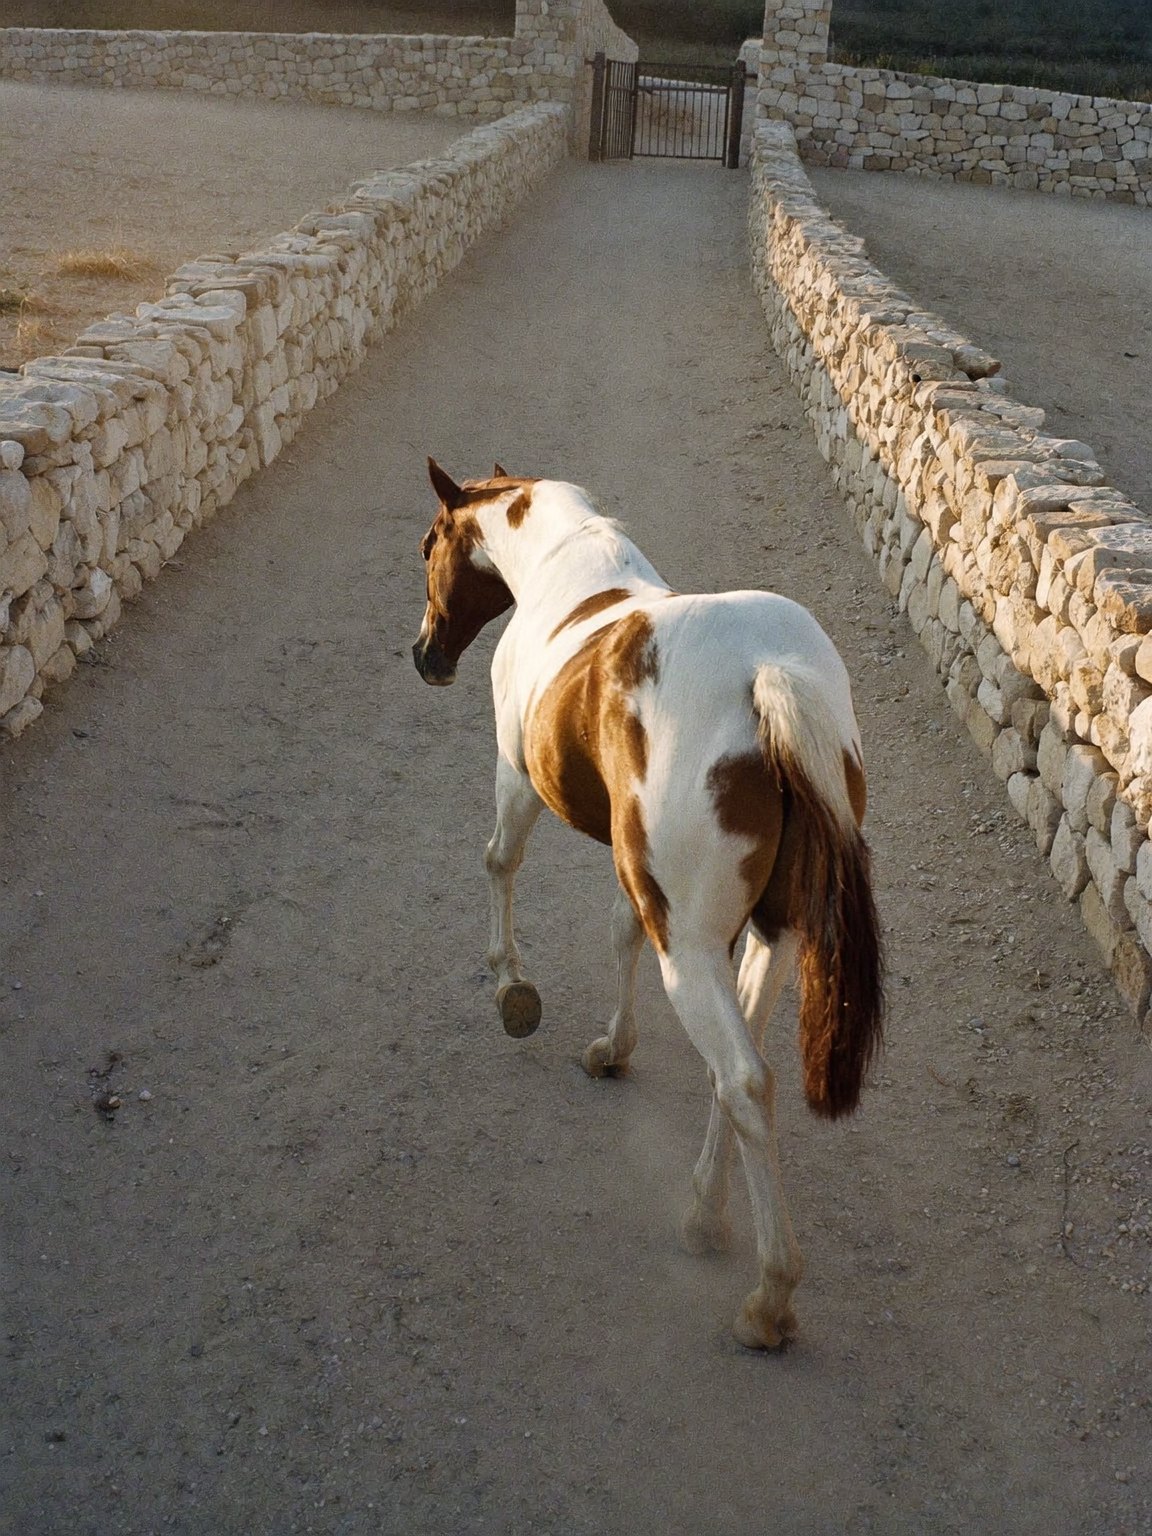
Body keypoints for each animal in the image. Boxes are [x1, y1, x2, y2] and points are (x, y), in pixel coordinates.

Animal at [412, 459, 884, 1349]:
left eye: (430, 544)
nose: (424, 655)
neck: (568, 569)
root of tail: (764, 677)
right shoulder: (645, 881)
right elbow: (620, 931)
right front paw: (612, 1046)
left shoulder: (516, 774)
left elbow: (499, 861)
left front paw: (511, 987)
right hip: (770, 934)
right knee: (744, 1072)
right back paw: (703, 1211)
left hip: (692, 951)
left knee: (744, 1080)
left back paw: (768, 1298)